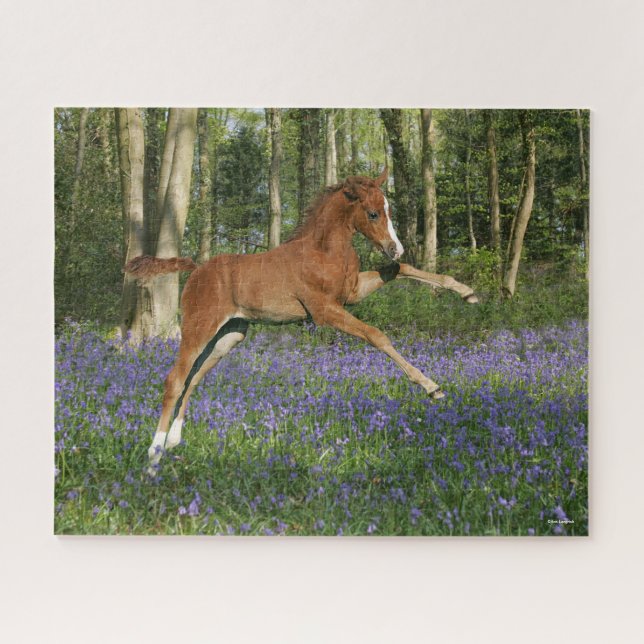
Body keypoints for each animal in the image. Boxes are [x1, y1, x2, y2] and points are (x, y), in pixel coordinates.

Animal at [125, 169, 478, 476]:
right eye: (373, 214)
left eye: (387, 210)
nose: (395, 248)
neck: (325, 251)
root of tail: (196, 269)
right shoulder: (324, 310)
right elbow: (376, 335)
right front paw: (432, 387)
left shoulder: (352, 294)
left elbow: (402, 271)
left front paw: (467, 293)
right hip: (198, 329)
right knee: (175, 380)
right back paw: (153, 458)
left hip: (229, 336)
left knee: (194, 378)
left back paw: (173, 441)